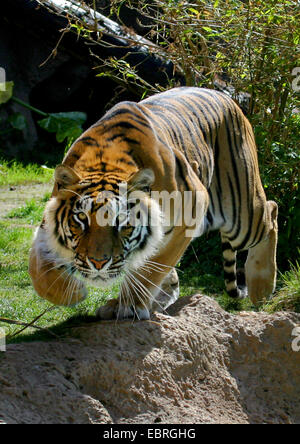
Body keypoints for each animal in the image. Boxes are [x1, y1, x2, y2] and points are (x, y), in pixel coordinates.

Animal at [29, 86, 278, 320]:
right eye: (81, 218)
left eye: (121, 221)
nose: (98, 263)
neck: (104, 161)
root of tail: (226, 96)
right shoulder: (47, 227)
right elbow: (38, 268)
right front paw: (72, 291)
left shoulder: (191, 211)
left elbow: (150, 268)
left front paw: (128, 306)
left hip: (242, 215)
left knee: (271, 213)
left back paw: (262, 287)